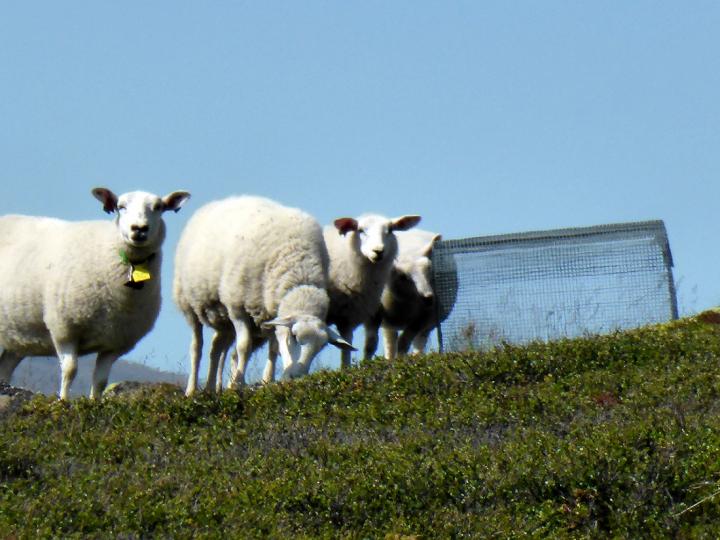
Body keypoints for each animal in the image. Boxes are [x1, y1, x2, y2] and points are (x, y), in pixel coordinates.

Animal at [0, 187, 191, 400]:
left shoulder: (115, 343)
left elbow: (100, 381)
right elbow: (70, 370)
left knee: (5, 366)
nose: (139, 228)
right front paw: (63, 401)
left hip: (16, 337)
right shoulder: (64, 329)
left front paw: (94, 403)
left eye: (158, 207)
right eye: (120, 206)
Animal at [173, 195, 353, 396]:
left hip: (223, 319)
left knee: (216, 347)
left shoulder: (272, 316)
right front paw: (237, 385)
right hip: (189, 304)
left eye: (321, 347)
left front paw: (268, 382)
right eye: (295, 337)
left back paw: (211, 388)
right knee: (197, 347)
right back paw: (191, 390)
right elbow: (244, 347)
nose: (296, 378)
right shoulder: (237, 308)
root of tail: (220, 201)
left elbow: (274, 350)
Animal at [364, 229, 443, 359]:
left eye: (429, 269)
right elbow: (370, 344)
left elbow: (403, 343)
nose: (428, 298)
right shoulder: (373, 315)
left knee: (419, 342)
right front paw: (366, 362)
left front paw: (402, 360)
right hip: (389, 323)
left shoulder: (420, 319)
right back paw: (389, 359)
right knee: (390, 341)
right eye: (403, 276)